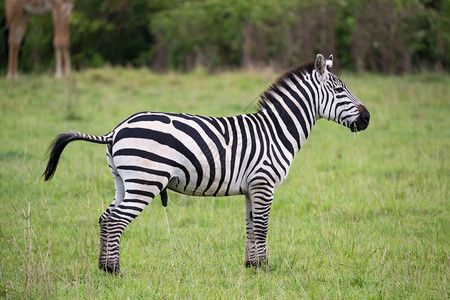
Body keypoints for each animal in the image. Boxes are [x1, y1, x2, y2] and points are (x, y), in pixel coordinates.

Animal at [44, 54, 370, 274]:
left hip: (123, 181)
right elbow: (262, 227)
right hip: (146, 180)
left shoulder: (251, 188)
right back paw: (114, 271)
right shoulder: (264, 183)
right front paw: (265, 268)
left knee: (105, 217)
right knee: (116, 220)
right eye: (339, 91)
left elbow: (250, 226)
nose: (367, 118)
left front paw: (251, 267)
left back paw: (102, 267)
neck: (275, 130)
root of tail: (116, 129)